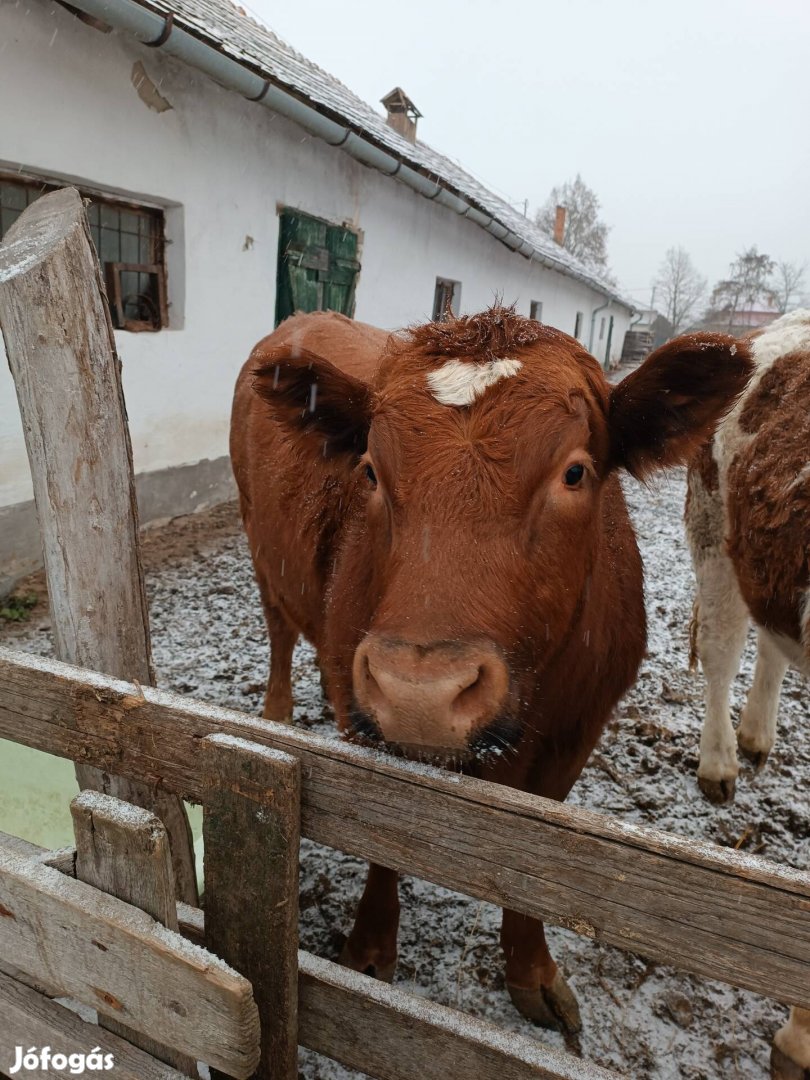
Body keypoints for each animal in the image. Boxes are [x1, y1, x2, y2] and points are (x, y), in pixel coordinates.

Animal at [231, 308, 751, 1032]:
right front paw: (369, 951)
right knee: (279, 629)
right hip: (261, 546)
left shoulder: (576, 735)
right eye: (370, 471)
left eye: (575, 473)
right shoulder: (362, 714)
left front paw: (531, 972)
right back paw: (277, 712)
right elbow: (381, 839)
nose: (419, 693)